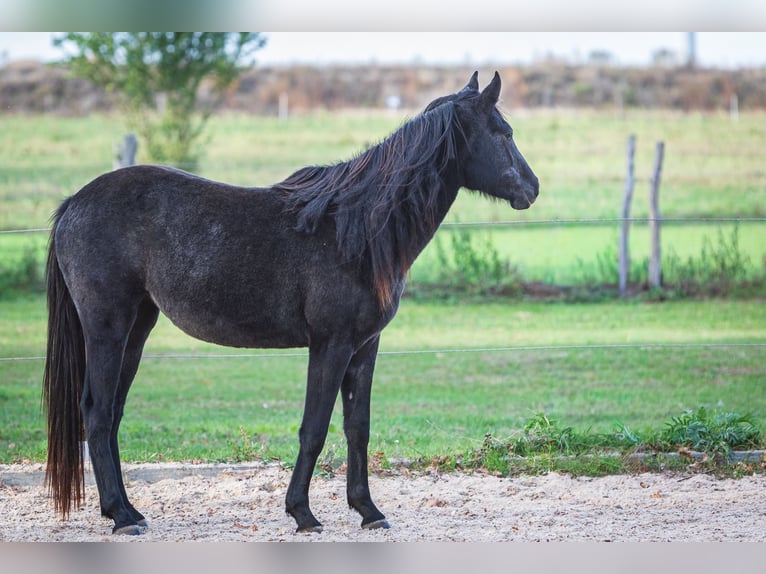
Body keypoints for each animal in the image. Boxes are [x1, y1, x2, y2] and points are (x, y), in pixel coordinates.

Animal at [43, 71, 539, 535]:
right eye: (504, 132)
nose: (532, 189)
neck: (354, 229)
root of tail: (73, 204)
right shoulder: (331, 345)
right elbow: (314, 429)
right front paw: (303, 513)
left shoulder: (365, 347)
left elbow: (357, 428)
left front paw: (368, 510)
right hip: (108, 328)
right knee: (97, 412)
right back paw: (122, 515)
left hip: (137, 328)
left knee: (112, 414)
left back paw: (128, 510)